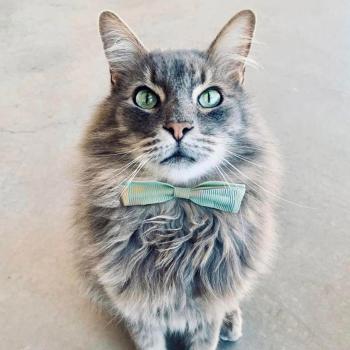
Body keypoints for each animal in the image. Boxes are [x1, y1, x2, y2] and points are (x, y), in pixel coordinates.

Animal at [74, 8, 282, 350]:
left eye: (209, 97)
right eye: (145, 98)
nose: (178, 128)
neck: (179, 211)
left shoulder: (207, 312)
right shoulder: (139, 312)